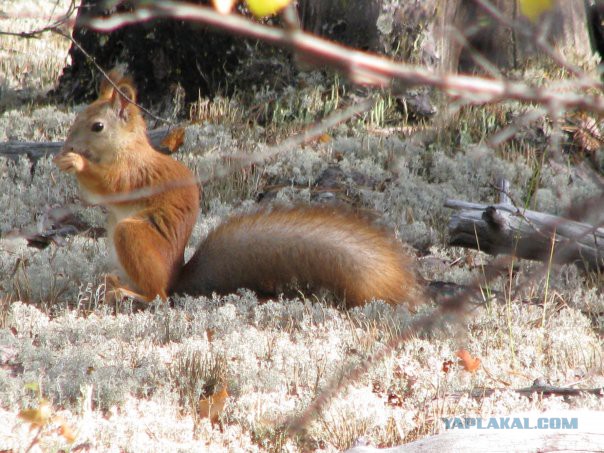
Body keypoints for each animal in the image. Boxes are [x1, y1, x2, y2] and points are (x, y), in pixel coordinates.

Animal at [53, 70, 420, 308]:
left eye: (97, 126)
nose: (67, 144)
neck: (126, 147)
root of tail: (175, 278)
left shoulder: (133, 173)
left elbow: (109, 185)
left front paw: (75, 162)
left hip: (133, 236)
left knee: (158, 295)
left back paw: (130, 293)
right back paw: (113, 284)